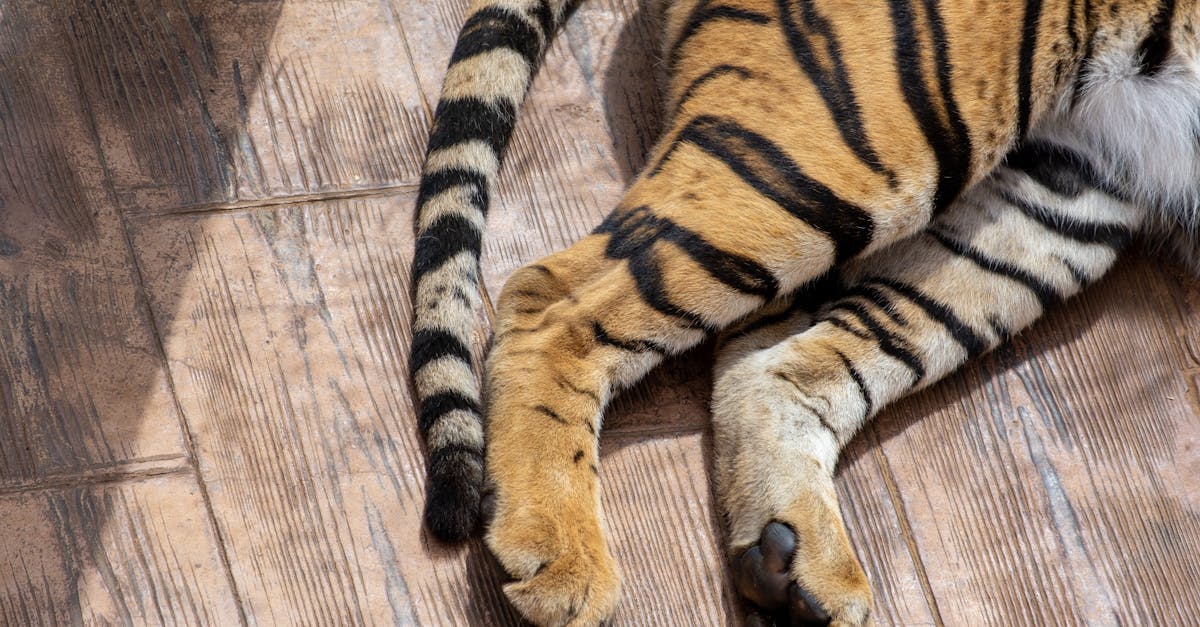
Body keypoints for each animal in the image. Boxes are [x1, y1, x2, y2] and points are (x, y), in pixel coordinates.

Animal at [408, 0, 1200, 624]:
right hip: (863, 138)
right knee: (553, 300)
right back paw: (564, 558)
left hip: (1058, 197)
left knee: (774, 361)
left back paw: (792, 571)